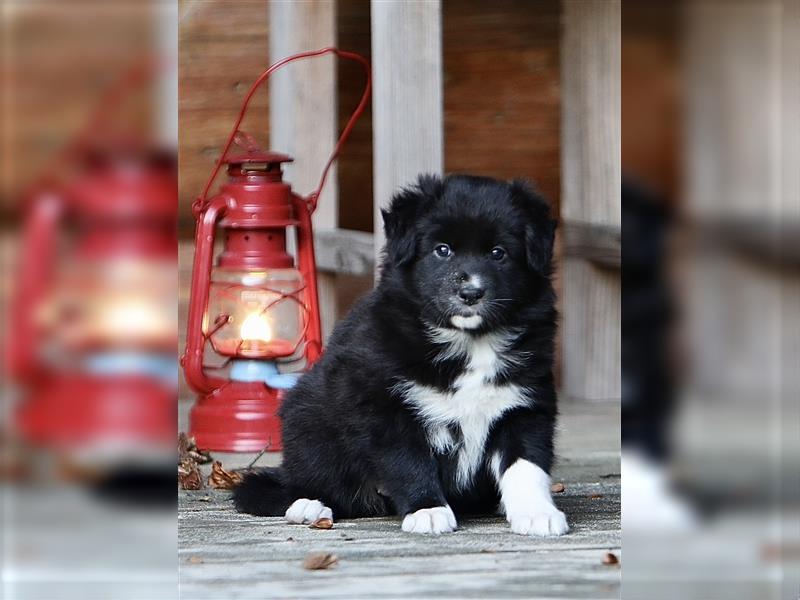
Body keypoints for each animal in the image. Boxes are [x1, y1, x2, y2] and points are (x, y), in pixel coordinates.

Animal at [233, 172, 568, 536]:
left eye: (498, 253)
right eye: (442, 250)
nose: (470, 293)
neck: (468, 342)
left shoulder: (524, 406)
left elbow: (526, 465)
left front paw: (537, 513)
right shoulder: (387, 407)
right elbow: (409, 461)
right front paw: (429, 510)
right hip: (308, 422)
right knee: (303, 482)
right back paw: (309, 506)